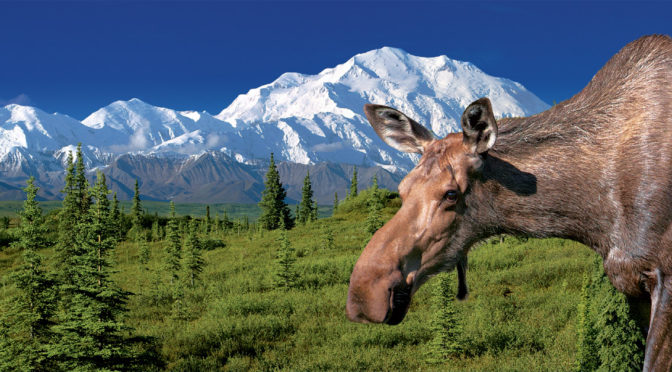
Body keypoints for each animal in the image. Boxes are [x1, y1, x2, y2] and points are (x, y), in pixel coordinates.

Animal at [346, 34, 672, 370]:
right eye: (402, 188)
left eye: (451, 194)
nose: (363, 292)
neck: (593, 219)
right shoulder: (628, 282)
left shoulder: (665, 277)